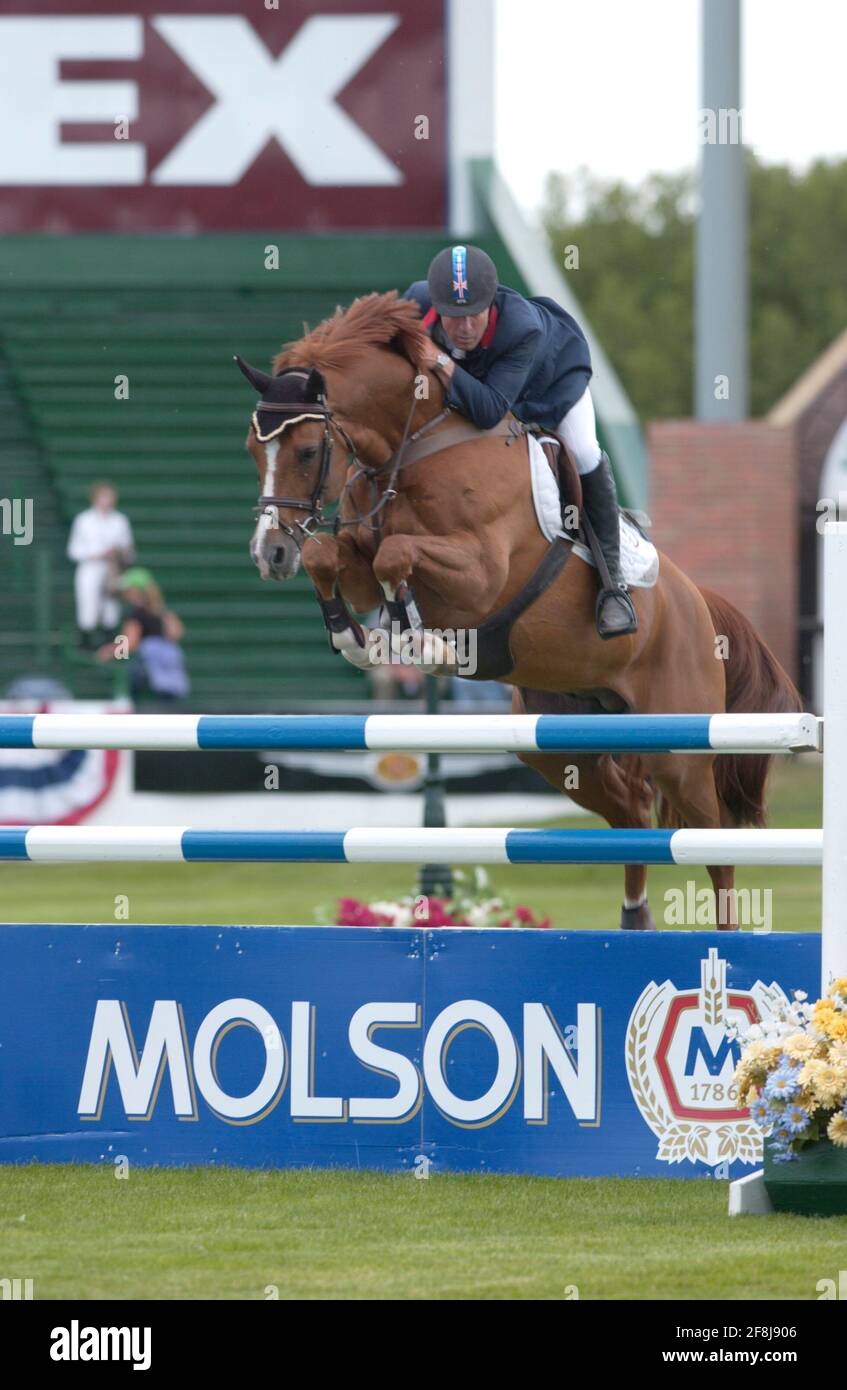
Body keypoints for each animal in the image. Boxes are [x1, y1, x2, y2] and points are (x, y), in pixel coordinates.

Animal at [235, 291, 801, 931]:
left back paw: (727, 935)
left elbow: (396, 552)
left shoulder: (482, 573)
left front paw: (421, 639)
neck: (414, 446)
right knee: (632, 811)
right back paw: (634, 921)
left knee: (712, 837)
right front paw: (358, 635)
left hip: (678, 746)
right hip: (557, 744)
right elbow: (333, 555)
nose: (269, 553)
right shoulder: (358, 558)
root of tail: (699, 602)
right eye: (254, 449)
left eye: (307, 451)